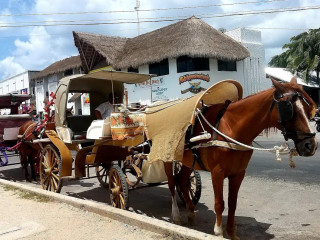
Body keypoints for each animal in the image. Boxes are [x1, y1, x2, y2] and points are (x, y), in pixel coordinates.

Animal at [165, 78, 318, 239]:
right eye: (289, 108)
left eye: (308, 109)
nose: (311, 146)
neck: (230, 127)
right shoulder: (217, 173)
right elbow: (219, 203)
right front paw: (218, 232)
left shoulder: (238, 173)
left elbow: (232, 204)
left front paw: (231, 233)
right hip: (167, 159)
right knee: (172, 183)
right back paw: (176, 215)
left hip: (188, 162)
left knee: (182, 181)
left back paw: (191, 213)